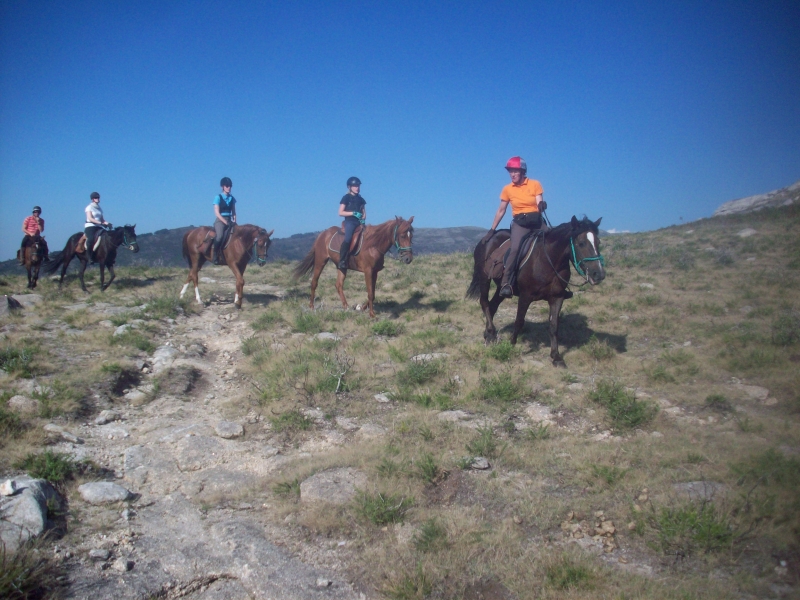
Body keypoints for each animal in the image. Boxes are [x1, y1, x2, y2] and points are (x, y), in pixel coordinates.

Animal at [466, 216, 604, 366]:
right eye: (581, 243)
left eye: (598, 242)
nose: (598, 274)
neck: (547, 260)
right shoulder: (525, 296)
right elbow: (519, 321)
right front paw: (511, 345)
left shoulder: (557, 297)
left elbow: (554, 326)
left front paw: (556, 356)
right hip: (484, 278)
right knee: (484, 302)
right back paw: (491, 332)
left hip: (501, 288)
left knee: (492, 306)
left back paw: (488, 335)